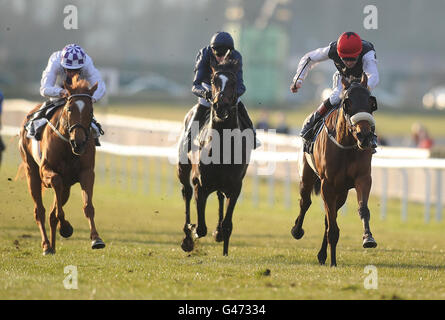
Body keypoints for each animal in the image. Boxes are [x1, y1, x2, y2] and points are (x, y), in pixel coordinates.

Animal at [18, 75, 105, 255]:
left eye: (90, 111)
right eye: (70, 108)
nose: (79, 142)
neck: (67, 146)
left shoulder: (86, 172)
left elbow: (88, 206)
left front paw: (96, 239)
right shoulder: (46, 171)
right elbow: (56, 183)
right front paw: (65, 227)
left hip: (67, 186)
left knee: (52, 214)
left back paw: (52, 246)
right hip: (31, 172)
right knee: (40, 211)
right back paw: (46, 245)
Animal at [177, 57, 253, 256]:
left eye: (233, 82)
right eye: (212, 81)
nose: (220, 105)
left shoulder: (235, 186)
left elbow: (227, 224)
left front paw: (221, 238)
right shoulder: (200, 184)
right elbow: (201, 227)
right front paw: (192, 232)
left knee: (219, 196)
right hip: (183, 167)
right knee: (186, 192)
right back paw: (187, 235)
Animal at [292, 74, 378, 266]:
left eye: (371, 103)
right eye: (348, 103)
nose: (365, 136)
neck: (345, 145)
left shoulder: (363, 178)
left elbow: (363, 209)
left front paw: (368, 238)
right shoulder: (327, 184)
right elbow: (332, 226)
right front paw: (333, 262)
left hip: (342, 192)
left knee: (328, 217)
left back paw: (322, 255)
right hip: (307, 175)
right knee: (305, 202)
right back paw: (297, 230)